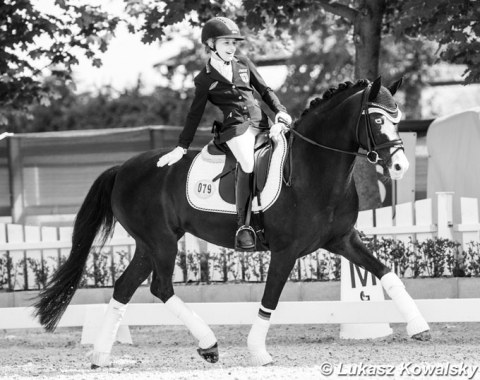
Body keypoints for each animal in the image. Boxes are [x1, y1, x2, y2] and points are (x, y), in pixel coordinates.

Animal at [35, 76, 430, 366]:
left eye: (397, 120)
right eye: (376, 119)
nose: (400, 166)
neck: (313, 169)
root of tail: (123, 168)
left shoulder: (343, 240)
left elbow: (387, 273)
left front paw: (420, 327)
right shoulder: (285, 251)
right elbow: (270, 298)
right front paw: (258, 352)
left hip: (148, 245)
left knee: (124, 288)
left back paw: (101, 356)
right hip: (162, 242)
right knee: (161, 288)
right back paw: (208, 344)